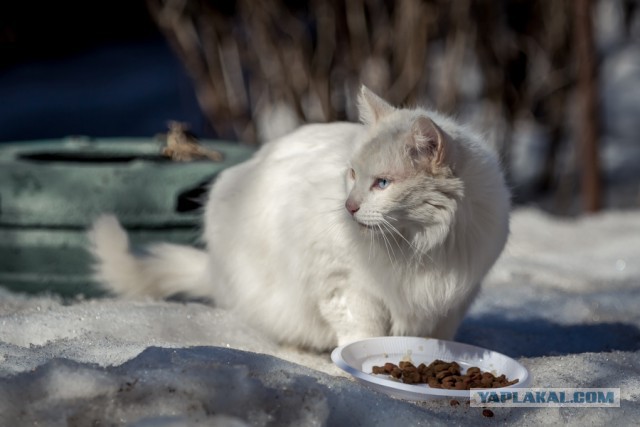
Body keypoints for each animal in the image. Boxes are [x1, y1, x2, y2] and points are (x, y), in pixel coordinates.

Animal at [90, 86, 510, 352]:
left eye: (382, 183)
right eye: (353, 174)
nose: (349, 207)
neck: (420, 244)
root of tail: (214, 268)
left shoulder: (451, 301)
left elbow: (433, 337)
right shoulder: (343, 283)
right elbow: (362, 331)